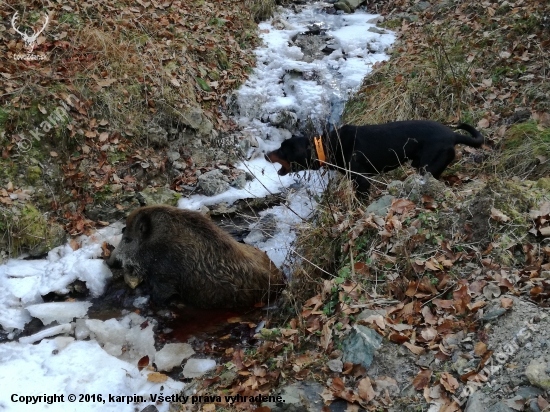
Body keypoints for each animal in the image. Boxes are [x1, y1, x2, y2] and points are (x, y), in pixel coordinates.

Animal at [268, 120, 488, 195]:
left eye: (282, 149)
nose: (266, 153)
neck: (327, 146)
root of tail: (452, 135)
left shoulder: (362, 181)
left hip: (427, 167)